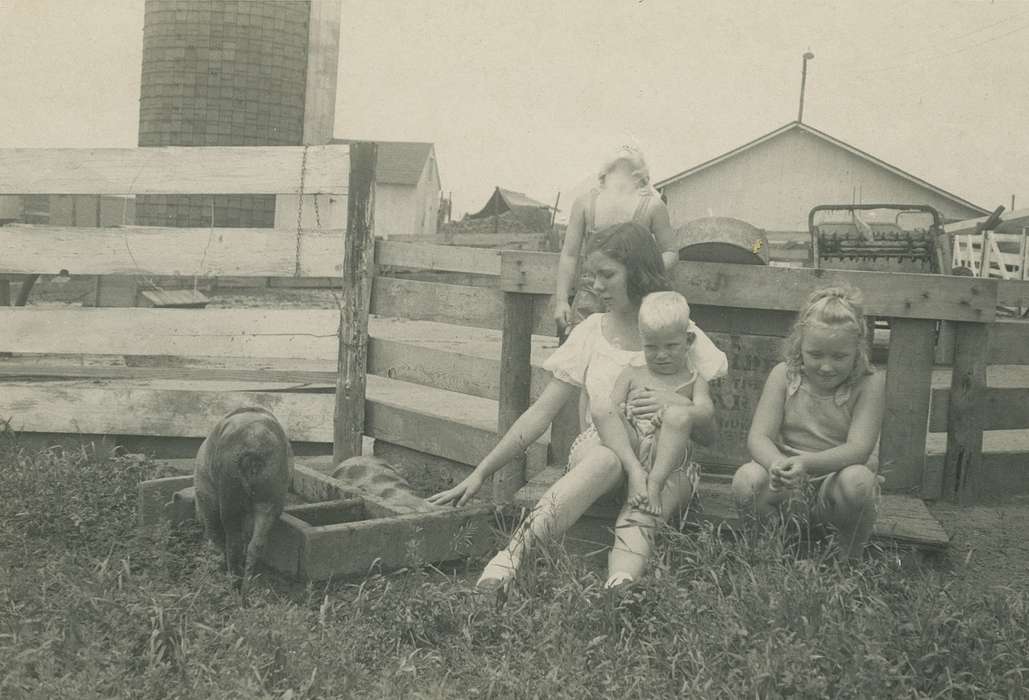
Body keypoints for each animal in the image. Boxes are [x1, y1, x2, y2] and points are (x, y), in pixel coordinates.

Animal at [193, 405, 294, 601]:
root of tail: (254, 444)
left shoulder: (208, 496)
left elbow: (213, 532)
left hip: (230, 490)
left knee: (233, 541)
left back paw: (233, 586)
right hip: (271, 494)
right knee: (257, 544)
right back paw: (248, 589)